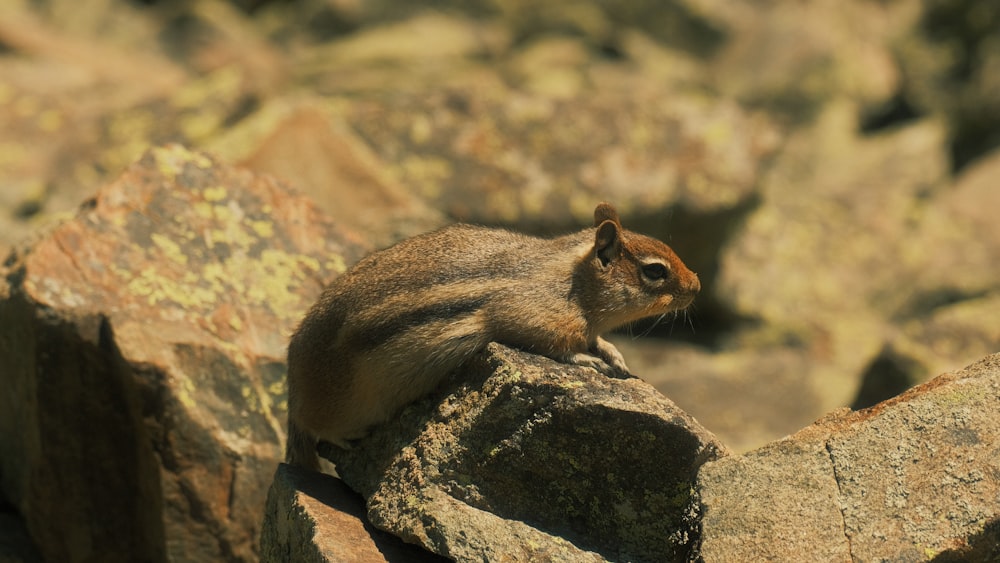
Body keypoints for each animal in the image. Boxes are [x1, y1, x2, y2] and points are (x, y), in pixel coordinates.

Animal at [286, 203, 700, 472]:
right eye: (655, 271)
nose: (696, 286)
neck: (574, 281)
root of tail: (294, 387)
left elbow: (596, 340)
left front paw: (613, 353)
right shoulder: (530, 312)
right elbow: (552, 343)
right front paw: (588, 360)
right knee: (314, 426)